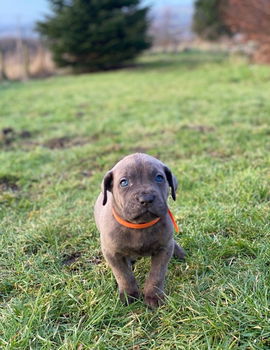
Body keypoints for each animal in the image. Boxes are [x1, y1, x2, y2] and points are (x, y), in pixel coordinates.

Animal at [94, 153, 185, 308]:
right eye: (124, 182)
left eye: (159, 178)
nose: (146, 199)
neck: (139, 226)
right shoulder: (111, 253)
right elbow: (123, 275)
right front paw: (129, 294)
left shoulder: (163, 249)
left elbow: (157, 274)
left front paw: (153, 296)